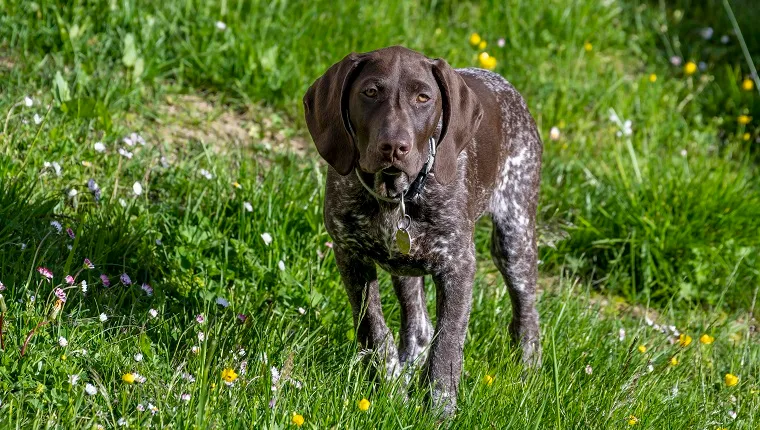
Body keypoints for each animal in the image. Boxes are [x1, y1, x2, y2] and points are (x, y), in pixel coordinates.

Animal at [302, 45, 540, 414]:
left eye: (423, 98)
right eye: (370, 92)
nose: (394, 146)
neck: (395, 195)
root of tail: (505, 85)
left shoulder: (458, 266)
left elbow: (449, 341)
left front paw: (440, 407)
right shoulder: (351, 255)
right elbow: (373, 328)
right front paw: (390, 383)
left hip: (514, 238)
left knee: (527, 315)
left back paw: (527, 373)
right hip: (405, 265)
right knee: (419, 325)